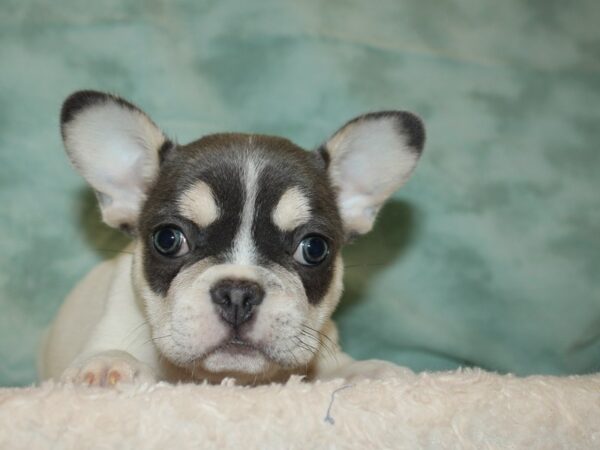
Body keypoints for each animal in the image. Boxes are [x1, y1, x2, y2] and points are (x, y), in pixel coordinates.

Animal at [37, 91, 424, 386]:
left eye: (314, 248)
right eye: (168, 239)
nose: (238, 294)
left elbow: (339, 368)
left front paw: (370, 371)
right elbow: (110, 350)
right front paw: (109, 364)